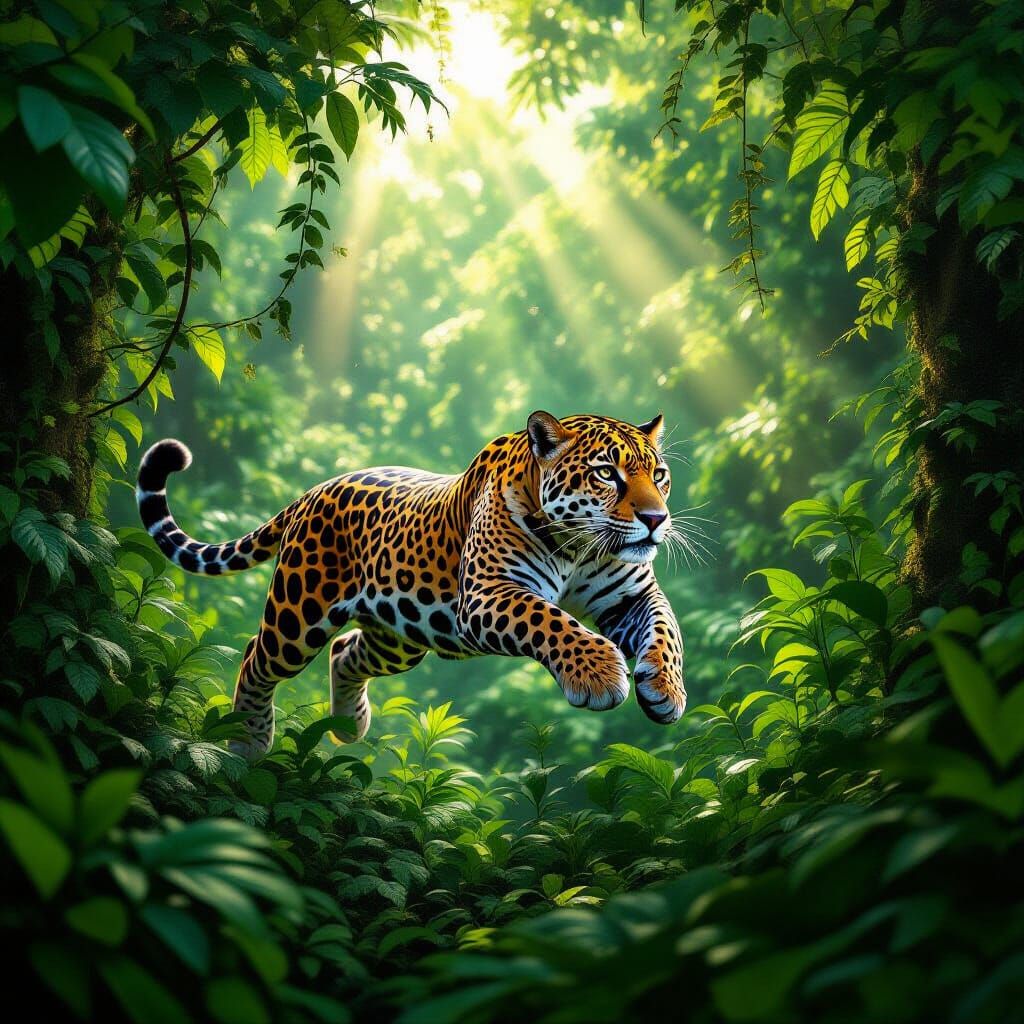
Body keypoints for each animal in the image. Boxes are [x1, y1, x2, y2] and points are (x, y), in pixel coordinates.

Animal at [137, 411, 686, 759]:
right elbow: (551, 621)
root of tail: (312, 491)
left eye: (659, 475)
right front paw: (598, 674)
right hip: (299, 614)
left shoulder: (633, 596)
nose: (656, 519)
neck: (578, 547)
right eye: (606, 473)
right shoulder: (488, 593)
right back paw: (247, 744)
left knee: (345, 651)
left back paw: (349, 724)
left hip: (402, 634)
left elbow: (666, 631)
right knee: (257, 656)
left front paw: (666, 689)